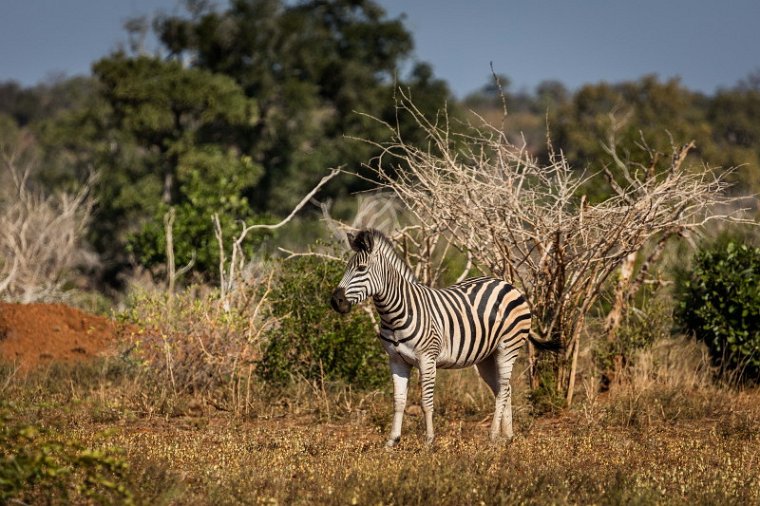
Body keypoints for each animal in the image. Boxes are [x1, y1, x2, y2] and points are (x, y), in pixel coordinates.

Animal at [328, 229, 560, 446]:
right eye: (347, 267)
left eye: (361, 269)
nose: (335, 301)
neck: (395, 313)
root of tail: (508, 284)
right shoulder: (396, 360)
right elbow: (399, 401)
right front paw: (392, 441)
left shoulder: (427, 359)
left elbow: (426, 402)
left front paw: (429, 441)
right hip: (486, 357)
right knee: (505, 389)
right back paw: (508, 436)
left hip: (508, 347)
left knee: (503, 390)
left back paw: (493, 435)